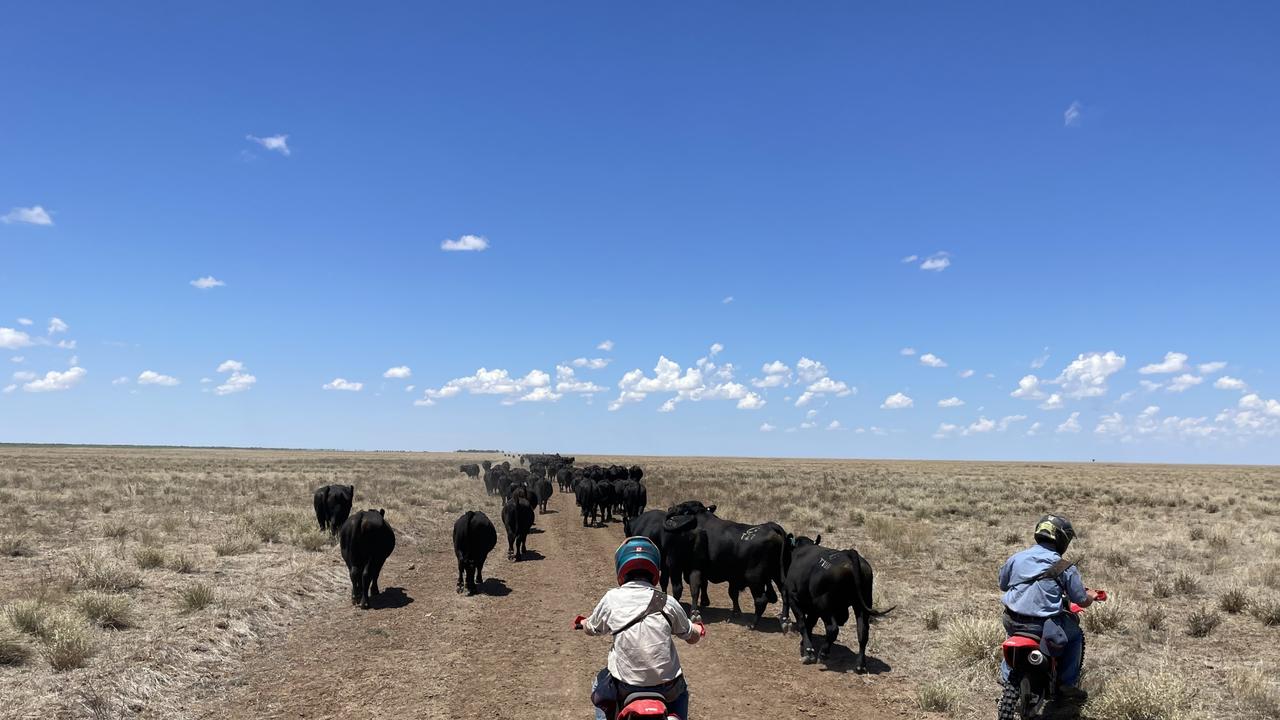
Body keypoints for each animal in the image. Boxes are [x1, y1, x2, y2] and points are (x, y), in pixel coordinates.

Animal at [778, 535, 890, 671]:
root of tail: (848, 553)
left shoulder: (794, 598)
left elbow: (803, 624)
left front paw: (808, 651)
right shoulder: (813, 610)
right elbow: (809, 624)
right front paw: (805, 645)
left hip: (824, 606)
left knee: (832, 629)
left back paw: (823, 653)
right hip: (861, 604)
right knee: (862, 632)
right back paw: (860, 665)